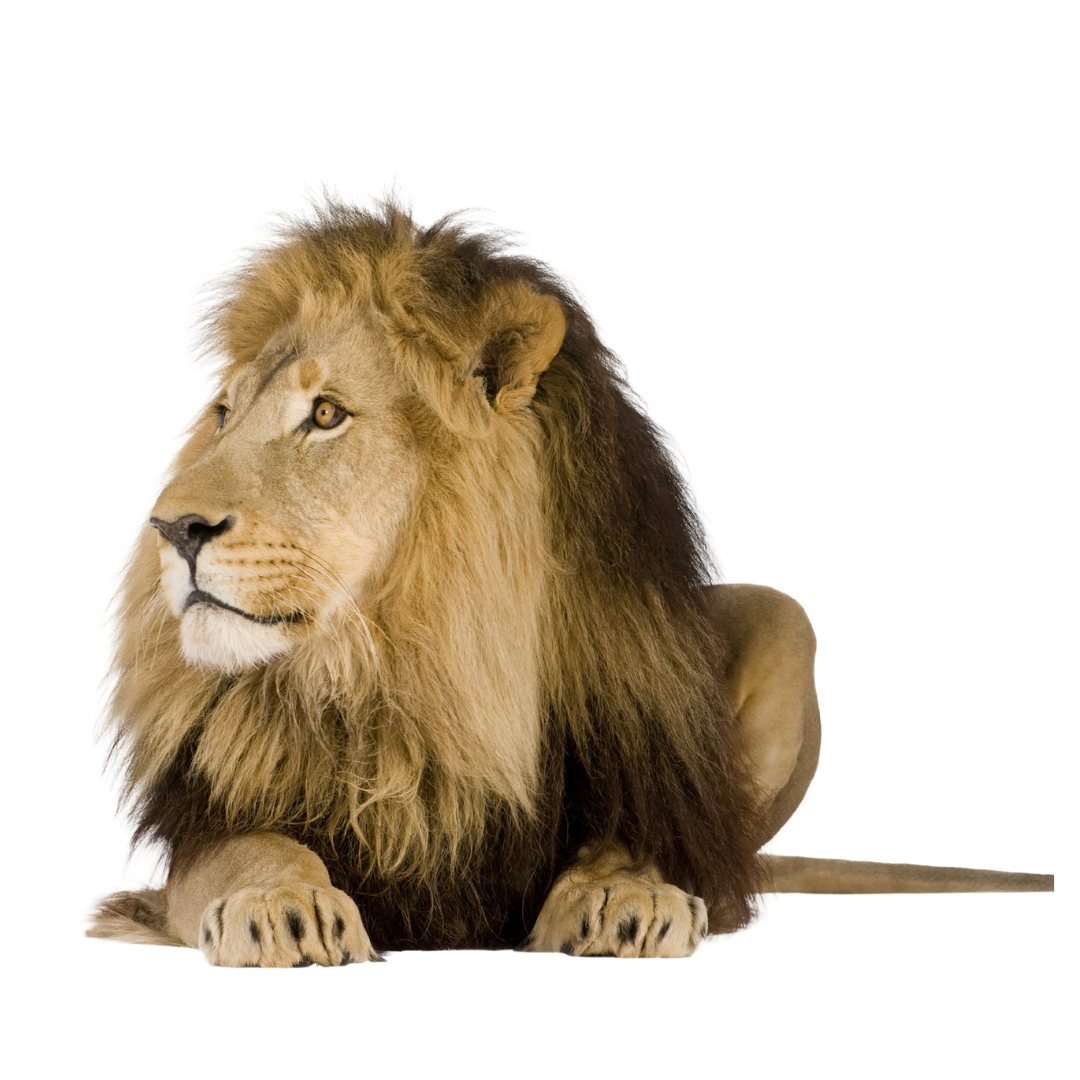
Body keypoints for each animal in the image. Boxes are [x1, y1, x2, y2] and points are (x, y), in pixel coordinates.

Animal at [81, 182, 1054, 964]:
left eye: (326, 414)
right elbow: (247, 850)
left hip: (786, 618)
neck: (402, 665)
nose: (172, 528)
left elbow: (629, 839)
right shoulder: (193, 831)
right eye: (225, 413)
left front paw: (629, 897)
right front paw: (279, 900)